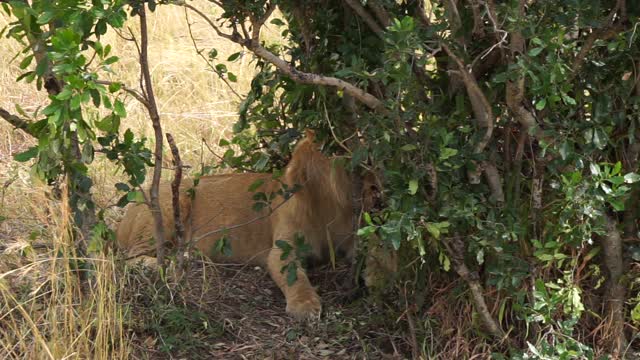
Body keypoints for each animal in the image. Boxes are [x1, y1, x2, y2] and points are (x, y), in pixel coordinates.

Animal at [115, 129, 356, 318]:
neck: (325, 204)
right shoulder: (281, 251)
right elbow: (295, 278)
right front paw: (304, 306)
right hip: (169, 205)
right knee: (130, 257)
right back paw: (173, 261)